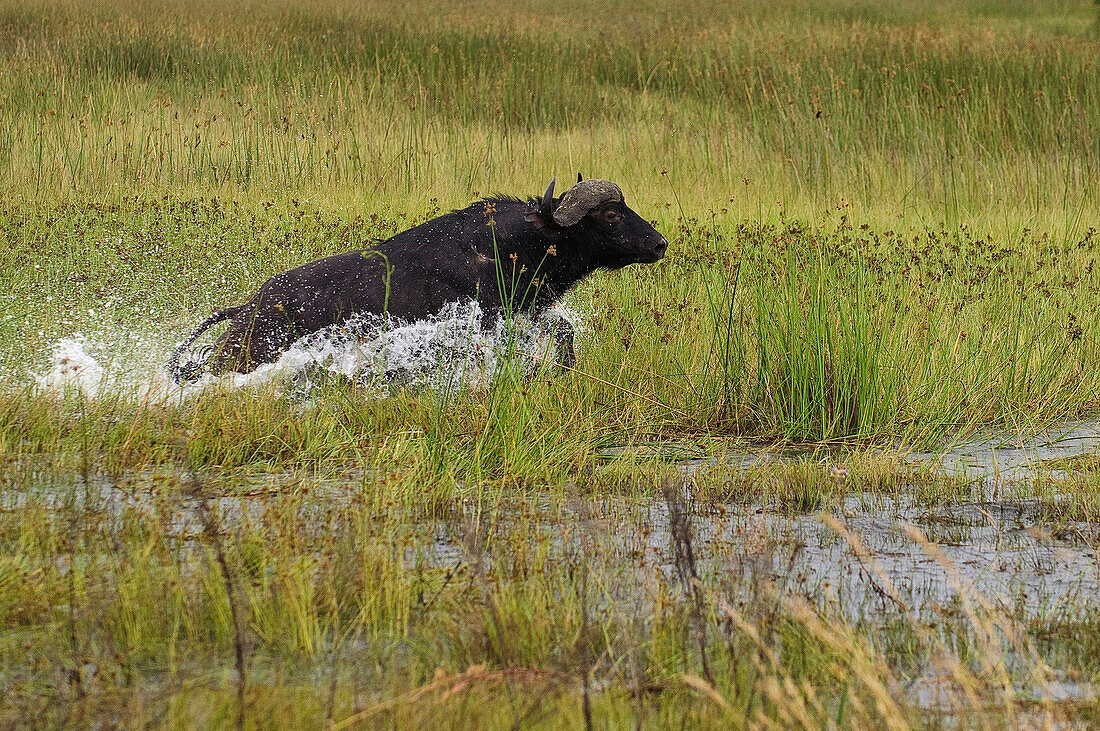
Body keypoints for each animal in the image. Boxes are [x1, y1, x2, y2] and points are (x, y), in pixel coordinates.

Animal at [169, 175, 668, 382]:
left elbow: (563, 333)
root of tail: (249, 308)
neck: (506, 247)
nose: (660, 243)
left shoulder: (527, 311)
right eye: (610, 215)